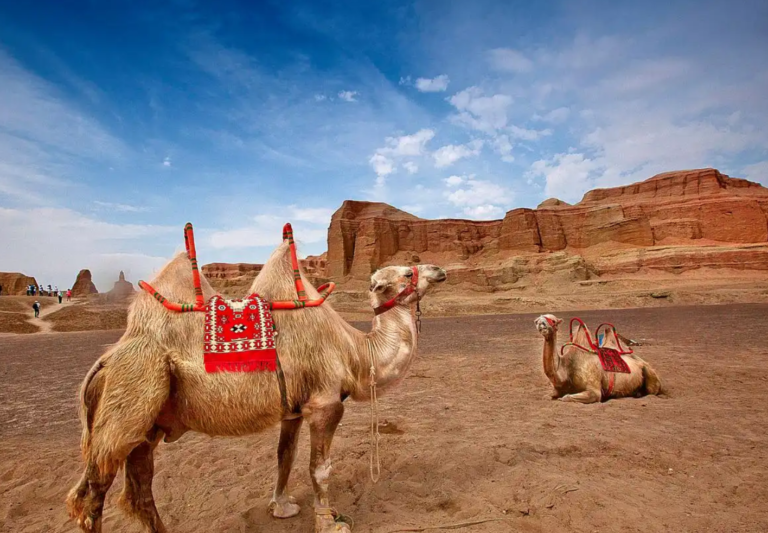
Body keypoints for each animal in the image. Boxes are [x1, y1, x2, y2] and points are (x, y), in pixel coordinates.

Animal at [66, 229, 447, 533]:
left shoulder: (293, 408)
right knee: (91, 498)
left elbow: (285, 457)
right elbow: (319, 468)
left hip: (146, 428)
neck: (356, 352)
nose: (439, 270)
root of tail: (105, 361)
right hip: (130, 399)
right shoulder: (324, 404)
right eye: (406, 272)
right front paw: (329, 522)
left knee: (140, 493)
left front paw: (282, 507)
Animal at [534, 314, 662, 403]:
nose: (541, 323)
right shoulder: (556, 390)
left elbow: (566, 397)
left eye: (553, 320)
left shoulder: (594, 391)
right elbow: (547, 396)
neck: (566, 370)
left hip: (650, 374)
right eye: (538, 320)